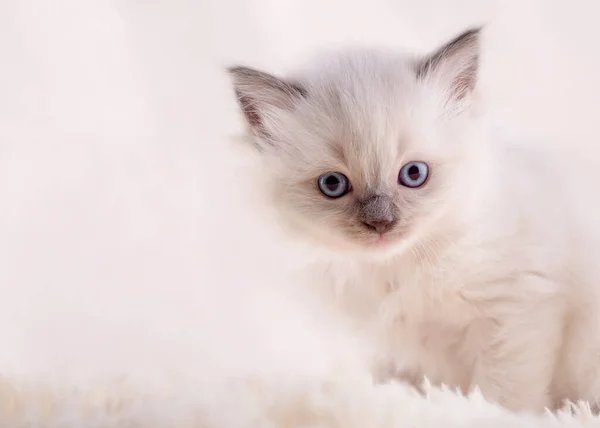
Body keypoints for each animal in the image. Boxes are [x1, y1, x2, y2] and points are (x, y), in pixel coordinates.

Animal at [226, 28, 600, 412]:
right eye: (333, 184)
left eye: (414, 174)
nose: (380, 223)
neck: (393, 270)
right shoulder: (388, 351)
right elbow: (394, 389)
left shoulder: (515, 310)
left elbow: (503, 397)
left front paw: (488, 414)